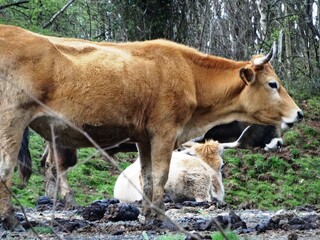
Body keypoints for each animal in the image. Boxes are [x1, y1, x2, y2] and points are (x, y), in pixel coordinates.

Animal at [0, 24, 302, 229]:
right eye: (273, 84)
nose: (298, 114)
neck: (189, 74)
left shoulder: (144, 139)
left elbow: (146, 177)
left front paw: (146, 214)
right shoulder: (164, 133)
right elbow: (160, 176)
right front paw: (157, 218)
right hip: (12, 121)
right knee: (9, 169)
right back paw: (13, 219)